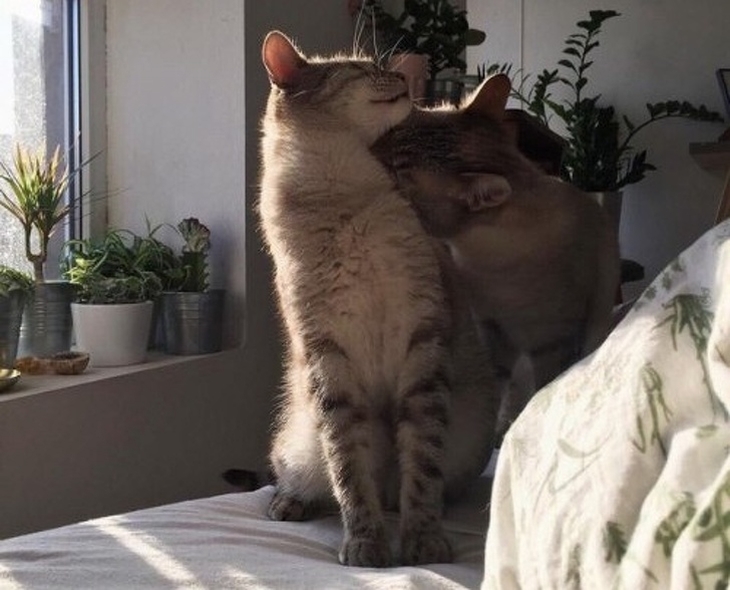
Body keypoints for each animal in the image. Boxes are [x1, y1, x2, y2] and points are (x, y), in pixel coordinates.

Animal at [253, 31, 498, 568]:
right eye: (361, 69)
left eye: (379, 65)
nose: (403, 75)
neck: (345, 200)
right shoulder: (327, 354)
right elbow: (348, 469)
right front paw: (367, 543)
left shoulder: (423, 337)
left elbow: (421, 467)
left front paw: (422, 541)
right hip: (300, 444)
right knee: (301, 478)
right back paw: (288, 504)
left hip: (469, 435)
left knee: (413, 486)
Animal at [372, 74, 616, 434]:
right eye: (391, 132)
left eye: (396, 173)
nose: (368, 148)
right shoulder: (494, 332)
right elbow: (497, 387)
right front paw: (492, 430)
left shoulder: (554, 342)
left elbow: (542, 392)